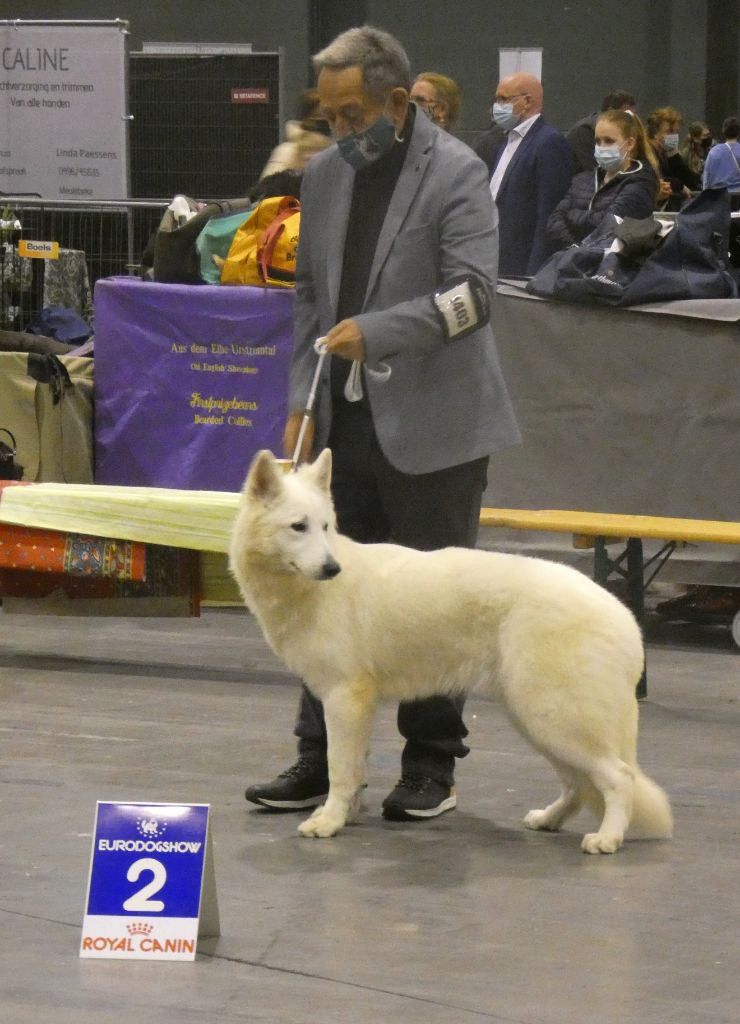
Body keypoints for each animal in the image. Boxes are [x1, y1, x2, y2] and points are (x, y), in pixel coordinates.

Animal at [230, 450, 671, 856]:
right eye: (299, 527)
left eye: (325, 527)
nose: (331, 569)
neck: (305, 592)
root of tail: (624, 619)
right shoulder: (351, 705)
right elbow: (355, 767)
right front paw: (346, 814)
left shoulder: (343, 698)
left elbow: (340, 767)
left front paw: (328, 822)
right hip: (538, 720)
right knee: (579, 783)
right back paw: (549, 819)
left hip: (554, 717)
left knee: (619, 776)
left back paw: (608, 838)